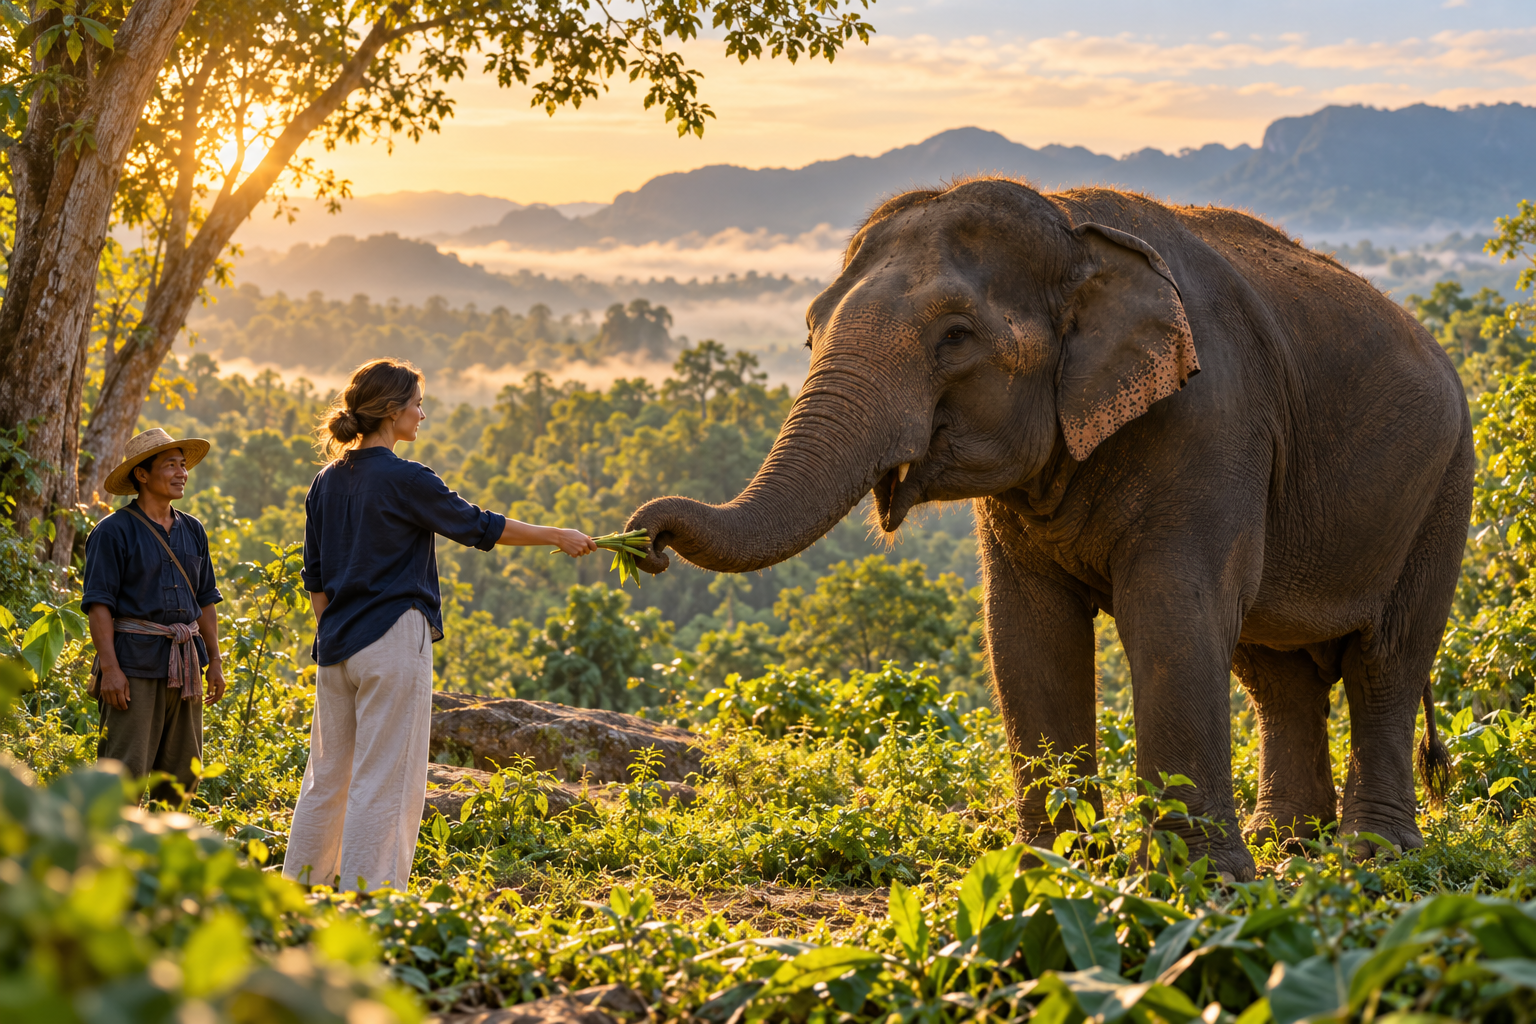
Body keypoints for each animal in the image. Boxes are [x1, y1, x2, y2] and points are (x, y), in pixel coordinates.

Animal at [625, 178, 1470, 881]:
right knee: (1277, 675)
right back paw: (1287, 842)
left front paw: (1197, 883)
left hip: (1444, 487)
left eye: (956, 336)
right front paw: (1050, 868)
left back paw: (1374, 854)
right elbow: (1026, 632)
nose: (647, 540)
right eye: (809, 330)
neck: (1073, 227)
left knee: (1385, 662)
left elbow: (1172, 615)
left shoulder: (1215, 423)